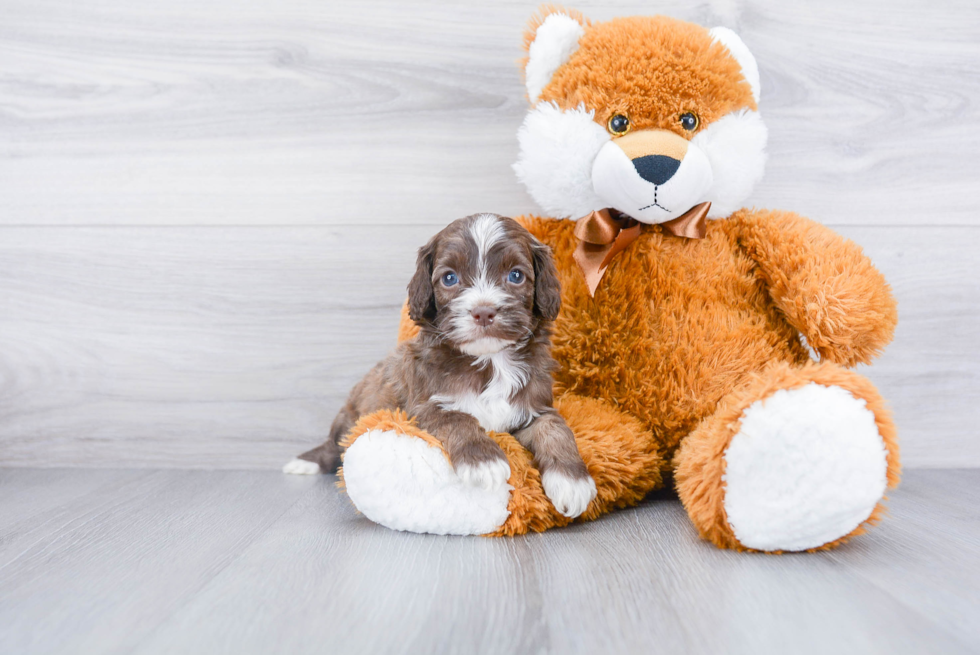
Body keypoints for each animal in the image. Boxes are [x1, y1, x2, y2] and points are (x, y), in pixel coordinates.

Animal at [284, 213, 596, 520]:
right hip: (348, 416)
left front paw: (573, 481)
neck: (489, 363)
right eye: (449, 278)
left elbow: (556, 428)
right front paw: (483, 461)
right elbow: (456, 418)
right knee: (334, 445)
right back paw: (306, 463)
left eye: (516, 275)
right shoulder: (420, 407)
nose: (484, 312)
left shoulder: (534, 407)